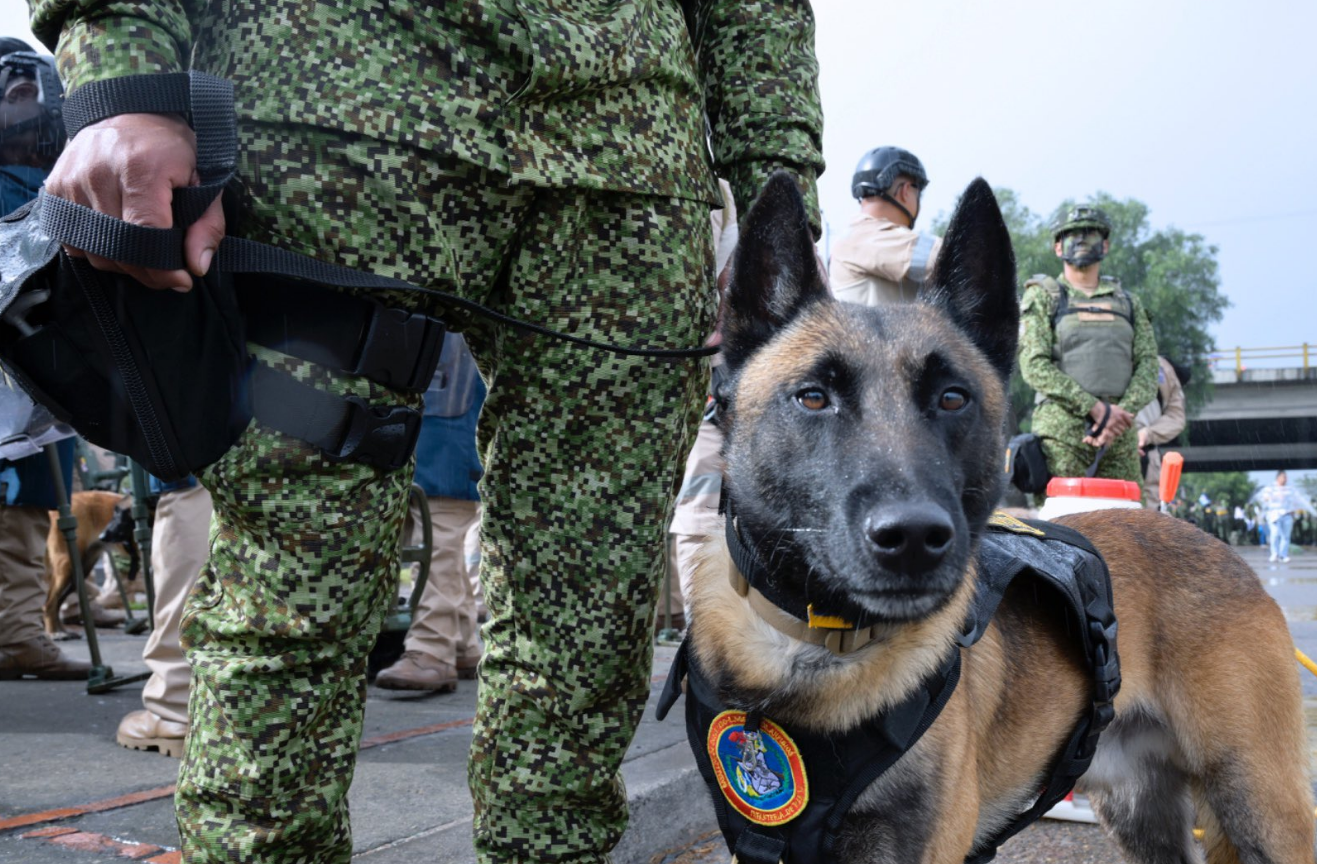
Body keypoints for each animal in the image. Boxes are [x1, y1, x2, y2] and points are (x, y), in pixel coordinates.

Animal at [684, 172, 1311, 858]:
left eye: (953, 398)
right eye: (814, 398)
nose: (914, 538)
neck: (813, 649)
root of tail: (1212, 543)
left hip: (1260, 805)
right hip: (1143, 813)